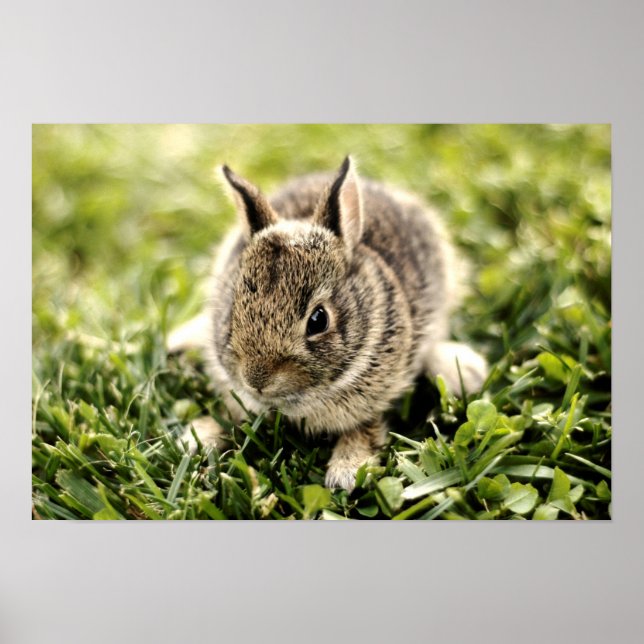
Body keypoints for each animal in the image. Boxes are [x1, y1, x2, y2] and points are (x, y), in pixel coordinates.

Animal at [168, 157, 487, 492]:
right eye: (233, 308)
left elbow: (366, 428)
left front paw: (346, 472)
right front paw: (197, 438)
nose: (256, 380)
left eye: (318, 320)